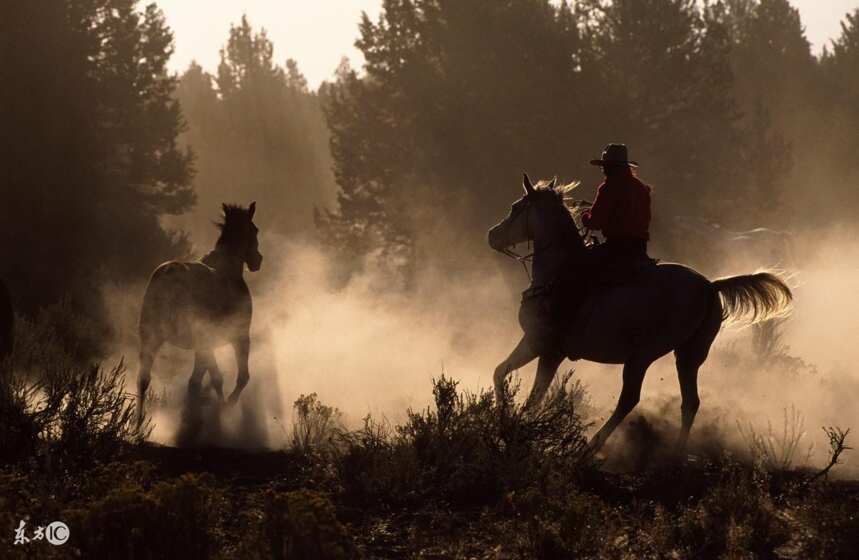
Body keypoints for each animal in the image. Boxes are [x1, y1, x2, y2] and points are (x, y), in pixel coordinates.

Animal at [136, 203, 264, 426]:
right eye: (254, 230)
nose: (257, 260)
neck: (229, 269)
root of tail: (168, 276)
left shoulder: (205, 345)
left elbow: (208, 379)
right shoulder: (239, 337)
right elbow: (240, 377)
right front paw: (226, 408)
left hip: (152, 338)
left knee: (144, 379)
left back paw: (138, 423)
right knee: (202, 380)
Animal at [490, 175, 792, 456]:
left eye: (515, 207)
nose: (492, 235)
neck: (558, 273)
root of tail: (710, 286)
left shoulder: (546, 348)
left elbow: (532, 396)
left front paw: (513, 430)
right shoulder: (538, 345)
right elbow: (501, 373)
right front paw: (504, 421)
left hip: (641, 357)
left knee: (629, 400)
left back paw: (590, 448)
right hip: (689, 355)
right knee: (689, 402)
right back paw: (674, 456)